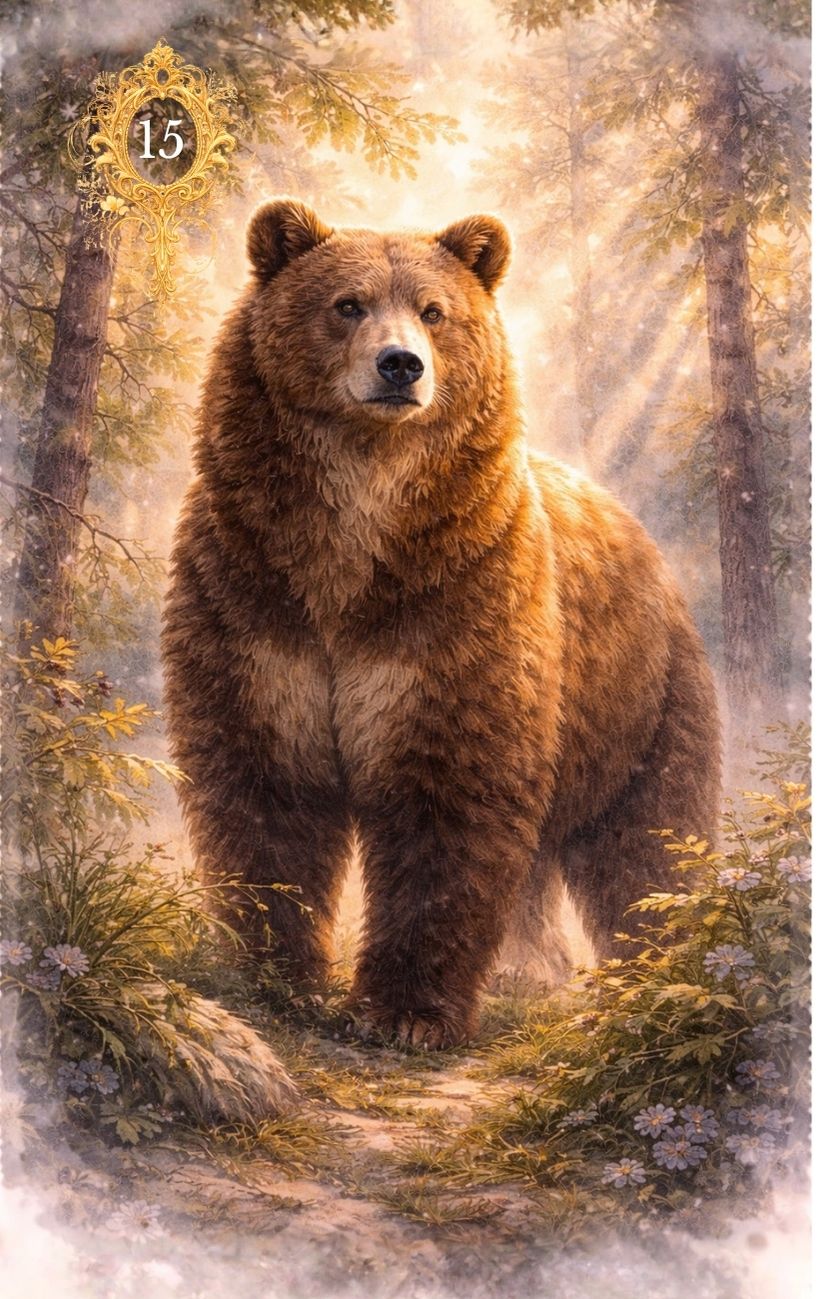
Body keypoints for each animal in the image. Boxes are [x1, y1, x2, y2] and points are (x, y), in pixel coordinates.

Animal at [161, 198, 720, 1050]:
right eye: (347, 303)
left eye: (433, 310)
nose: (401, 365)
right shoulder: (251, 600)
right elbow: (264, 786)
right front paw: (277, 979)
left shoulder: (455, 611)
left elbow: (447, 795)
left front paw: (405, 1012)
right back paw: (532, 972)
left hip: (641, 706)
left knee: (652, 845)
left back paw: (661, 973)